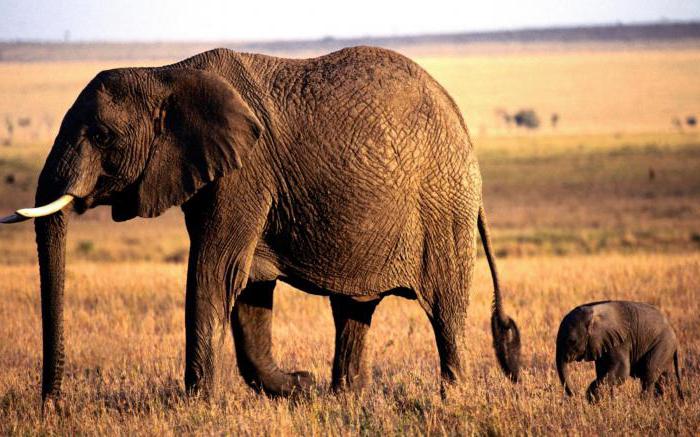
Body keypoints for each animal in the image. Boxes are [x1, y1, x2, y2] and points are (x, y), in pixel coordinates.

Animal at [1, 46, 520, 400]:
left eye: (102, 136)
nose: (53, 405)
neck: (167, 73)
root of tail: (461, 123)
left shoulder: (244, 173)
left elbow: (215, 272)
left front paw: (198, 406)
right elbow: (248, 286)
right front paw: (299, 385)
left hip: (443, 208)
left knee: (445, 309)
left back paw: (452, 399)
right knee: (353, 310)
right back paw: (344, 396)